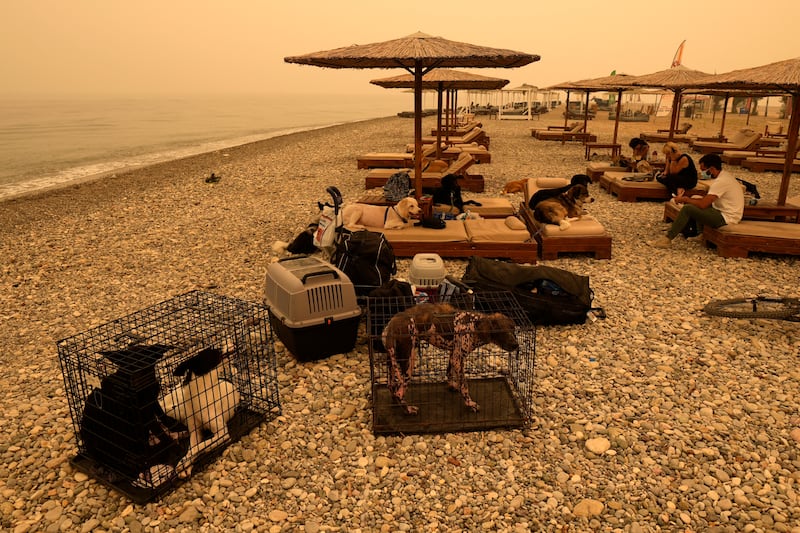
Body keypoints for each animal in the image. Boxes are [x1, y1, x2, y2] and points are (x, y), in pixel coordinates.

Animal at [382, 302, 520, 414]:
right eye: (501, 331)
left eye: (512, 329)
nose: (516, 345)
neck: (473, 325)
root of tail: (391, 325)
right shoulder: (458, 360)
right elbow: (464, 386)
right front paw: (470, 404)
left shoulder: (453, 355)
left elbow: (449, 373)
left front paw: (452, 385)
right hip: (408, 362)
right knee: (399, 392)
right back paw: (408, 409)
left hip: (392, 360)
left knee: (391, 386)